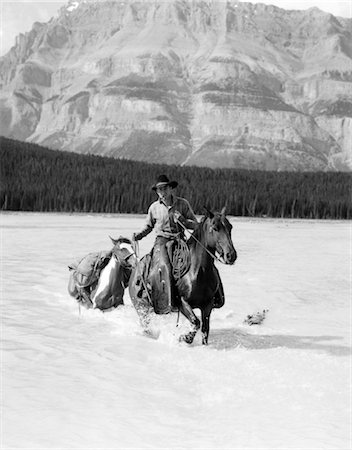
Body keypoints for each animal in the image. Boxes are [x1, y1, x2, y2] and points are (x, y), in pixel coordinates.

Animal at [129, 207, 236, 344]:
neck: (197, 272)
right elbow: (196, 322)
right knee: (146, 324)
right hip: (141, 307)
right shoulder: (183, 302)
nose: (231, 255)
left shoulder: (207, 305)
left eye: (230, 227)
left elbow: (205, 329)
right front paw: (184, 338)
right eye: (215, 228)